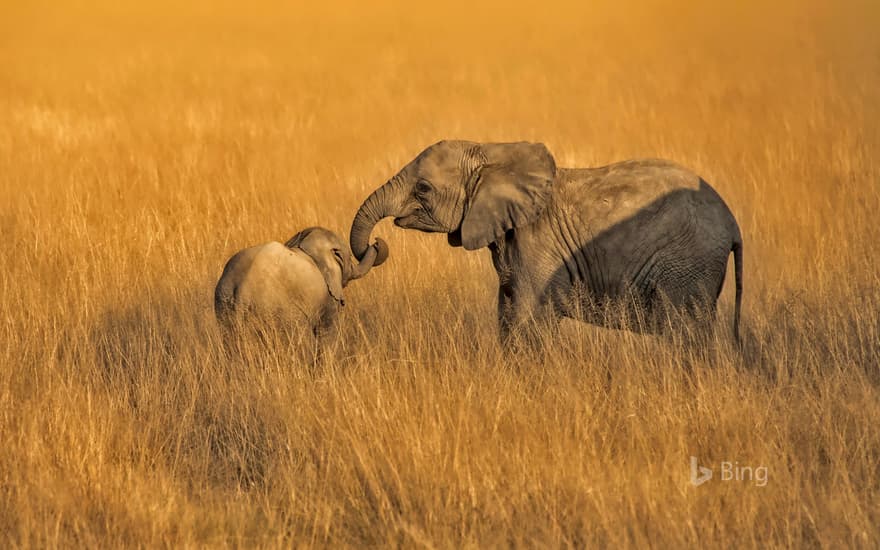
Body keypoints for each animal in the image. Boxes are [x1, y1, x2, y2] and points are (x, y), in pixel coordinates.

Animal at [214, 229, 388, 350]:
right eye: (349, 258)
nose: (376, 241)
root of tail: (243, 289)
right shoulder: (329, 298)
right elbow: (327, 334)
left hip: (224, 303)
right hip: (276, 312)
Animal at [350, 142, 744, 350]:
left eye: (423, 189)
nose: (377, 244)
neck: (491, 152)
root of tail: (732, 223)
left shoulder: (537, 243)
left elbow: (526, 317)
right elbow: (507, 311)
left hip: (687, 264)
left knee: (684, 334)